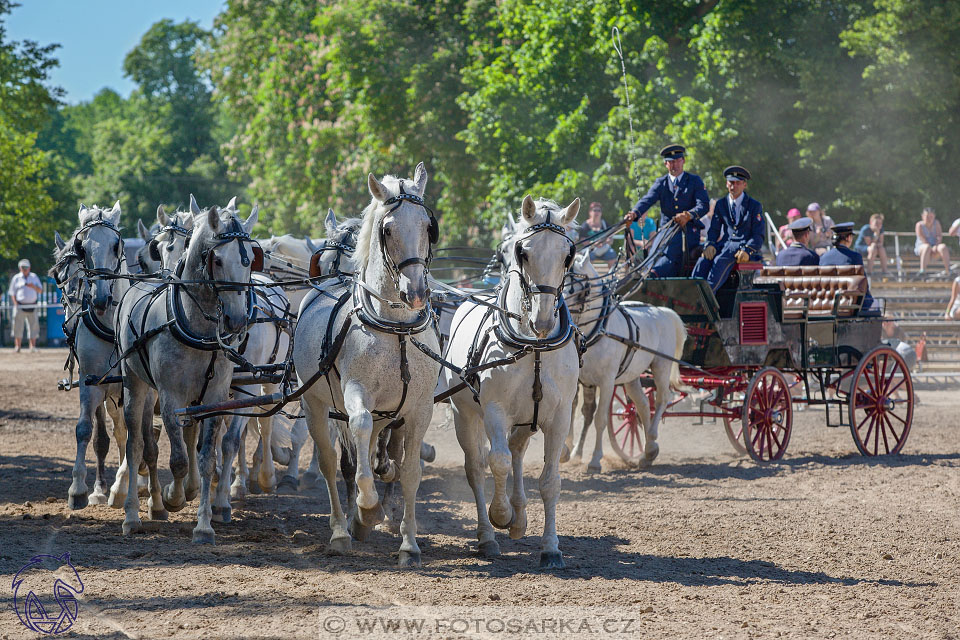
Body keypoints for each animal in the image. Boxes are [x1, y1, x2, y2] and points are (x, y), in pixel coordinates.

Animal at [50, 202, 128, 508]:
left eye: (116, 244)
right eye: (82, 247)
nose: (100, 298)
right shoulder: (93, 382)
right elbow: (88, 432)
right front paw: (81, 489)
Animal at [115, 196, 258, 544]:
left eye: (250, 259)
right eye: (217, 259)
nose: (237, 320)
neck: (197, 327)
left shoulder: (215, 396)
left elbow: (206, 459)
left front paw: (204, 524)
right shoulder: (169, 397)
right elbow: (177, 459)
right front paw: (172, 497)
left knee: (189, 435)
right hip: (134, 383)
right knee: (135, 445)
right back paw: (131, 515)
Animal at [292, 164, 442, 564]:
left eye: (428, 225)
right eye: (387, 230)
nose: (415, 292)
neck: (396, 329)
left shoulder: (419, 407)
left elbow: (409, 472)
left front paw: (409, 544)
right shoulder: (355, 395)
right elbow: (357, 449)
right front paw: (368, 507)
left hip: (385, 413)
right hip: (315, 406)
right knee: (331, 462)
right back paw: (343, 529)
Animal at [440, 196, 576, 568]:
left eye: (567, 255)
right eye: (523, 252)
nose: (542, 321)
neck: (534, 346)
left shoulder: (560, 416)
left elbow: (550, 481)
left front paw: (550, 548)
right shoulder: (495, 411)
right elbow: (496, 463)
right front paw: (500, 515)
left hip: (526, 420)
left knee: (516, 451)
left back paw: (520, 518)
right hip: (465, 415)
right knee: (477, 466)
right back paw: (489, 535)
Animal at [564, 254, 688, 470]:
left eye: (579, 289)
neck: (597, 331)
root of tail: (662, 310)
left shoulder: (607, 382)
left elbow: (600, 419)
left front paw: (595, 460)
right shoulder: (583, 381)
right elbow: (576, 412)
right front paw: (570, 452)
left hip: (661, 365)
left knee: (663, 398)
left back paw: (652, 439)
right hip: (632, 376)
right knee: (644, 404)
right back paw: (648, 450)